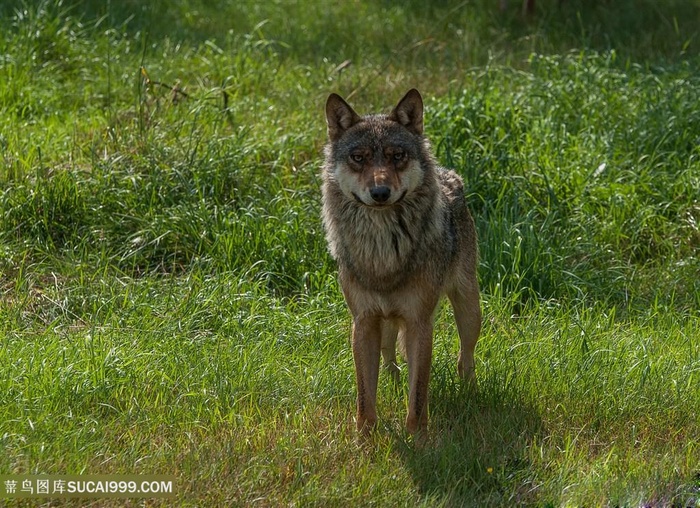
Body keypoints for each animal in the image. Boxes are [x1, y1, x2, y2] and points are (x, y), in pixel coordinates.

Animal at [322, 88, 482, 436]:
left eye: (397, 156)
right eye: (359, 158)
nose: (380, 192)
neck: (383, 253)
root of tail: (450, 174)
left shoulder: (420, 323)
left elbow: (418, 395)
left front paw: (417, 438)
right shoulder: (363, 322)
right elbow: (365, 395)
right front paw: (365, 438)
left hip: (468, 310)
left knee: (465, 357)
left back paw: (469, 392)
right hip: (386, 323)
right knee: (390, 357)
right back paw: (393, 383)